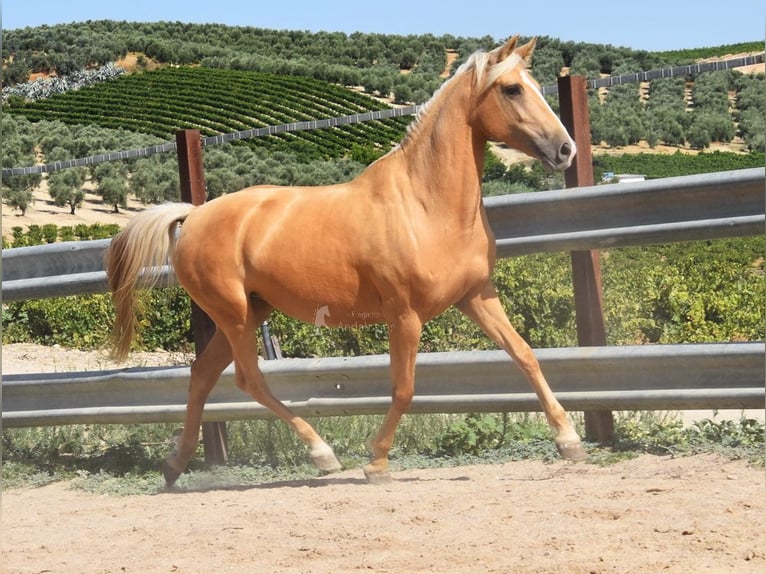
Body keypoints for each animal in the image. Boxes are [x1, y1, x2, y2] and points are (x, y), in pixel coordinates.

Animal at [106, 35, 588, 486]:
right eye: (511, 89)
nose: (566, 149)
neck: (426, 205)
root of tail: (193, 215)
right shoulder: (404, 314)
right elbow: (404, 388)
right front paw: (376, 462)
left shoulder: (476, 296)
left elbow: (525, 354)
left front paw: (569, 441)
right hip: (235, 314)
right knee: (247, 379)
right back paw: (323, 454)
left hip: (248, 311)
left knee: (202, 374)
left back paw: (175, 466)